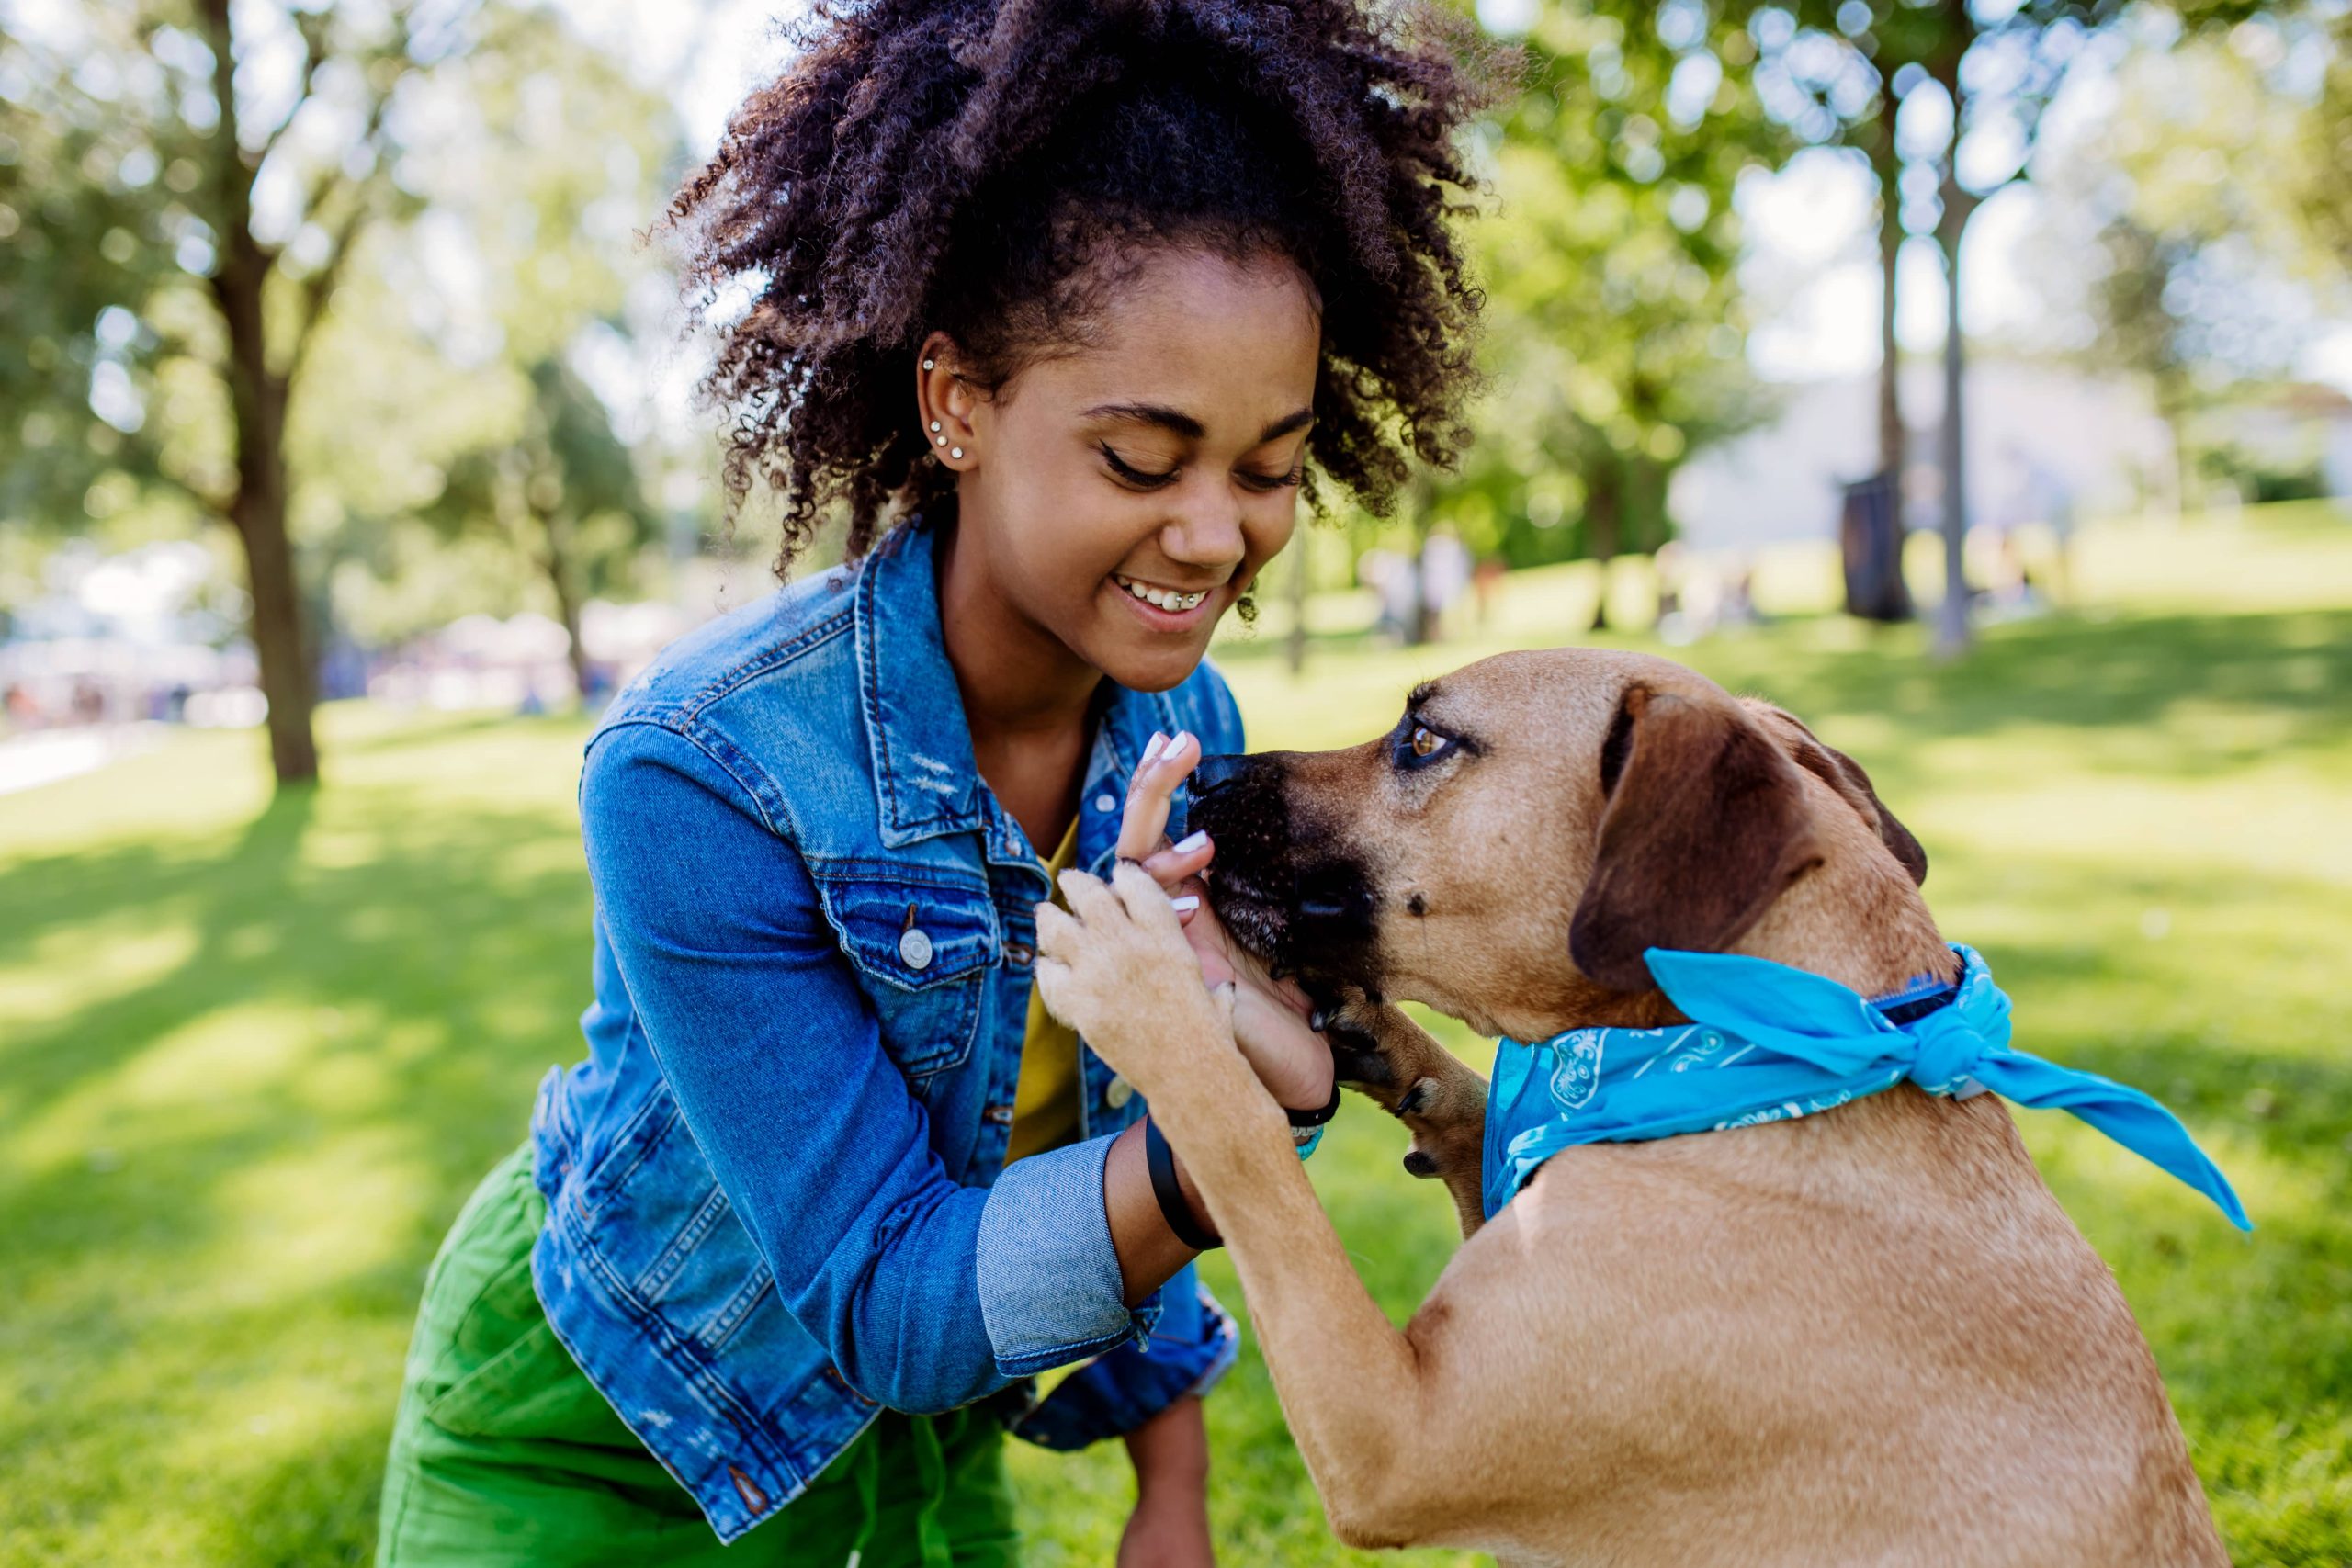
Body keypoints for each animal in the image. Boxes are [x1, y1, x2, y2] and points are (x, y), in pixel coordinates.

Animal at [1039, 649, 2229, 1568]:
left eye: (1422, 740)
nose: (1205, 775)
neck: (1765, 1057)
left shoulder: (1391, 1434)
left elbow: (1245, 1150)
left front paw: (1149, 984)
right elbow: (1476, 1103)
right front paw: (1371, 1039)